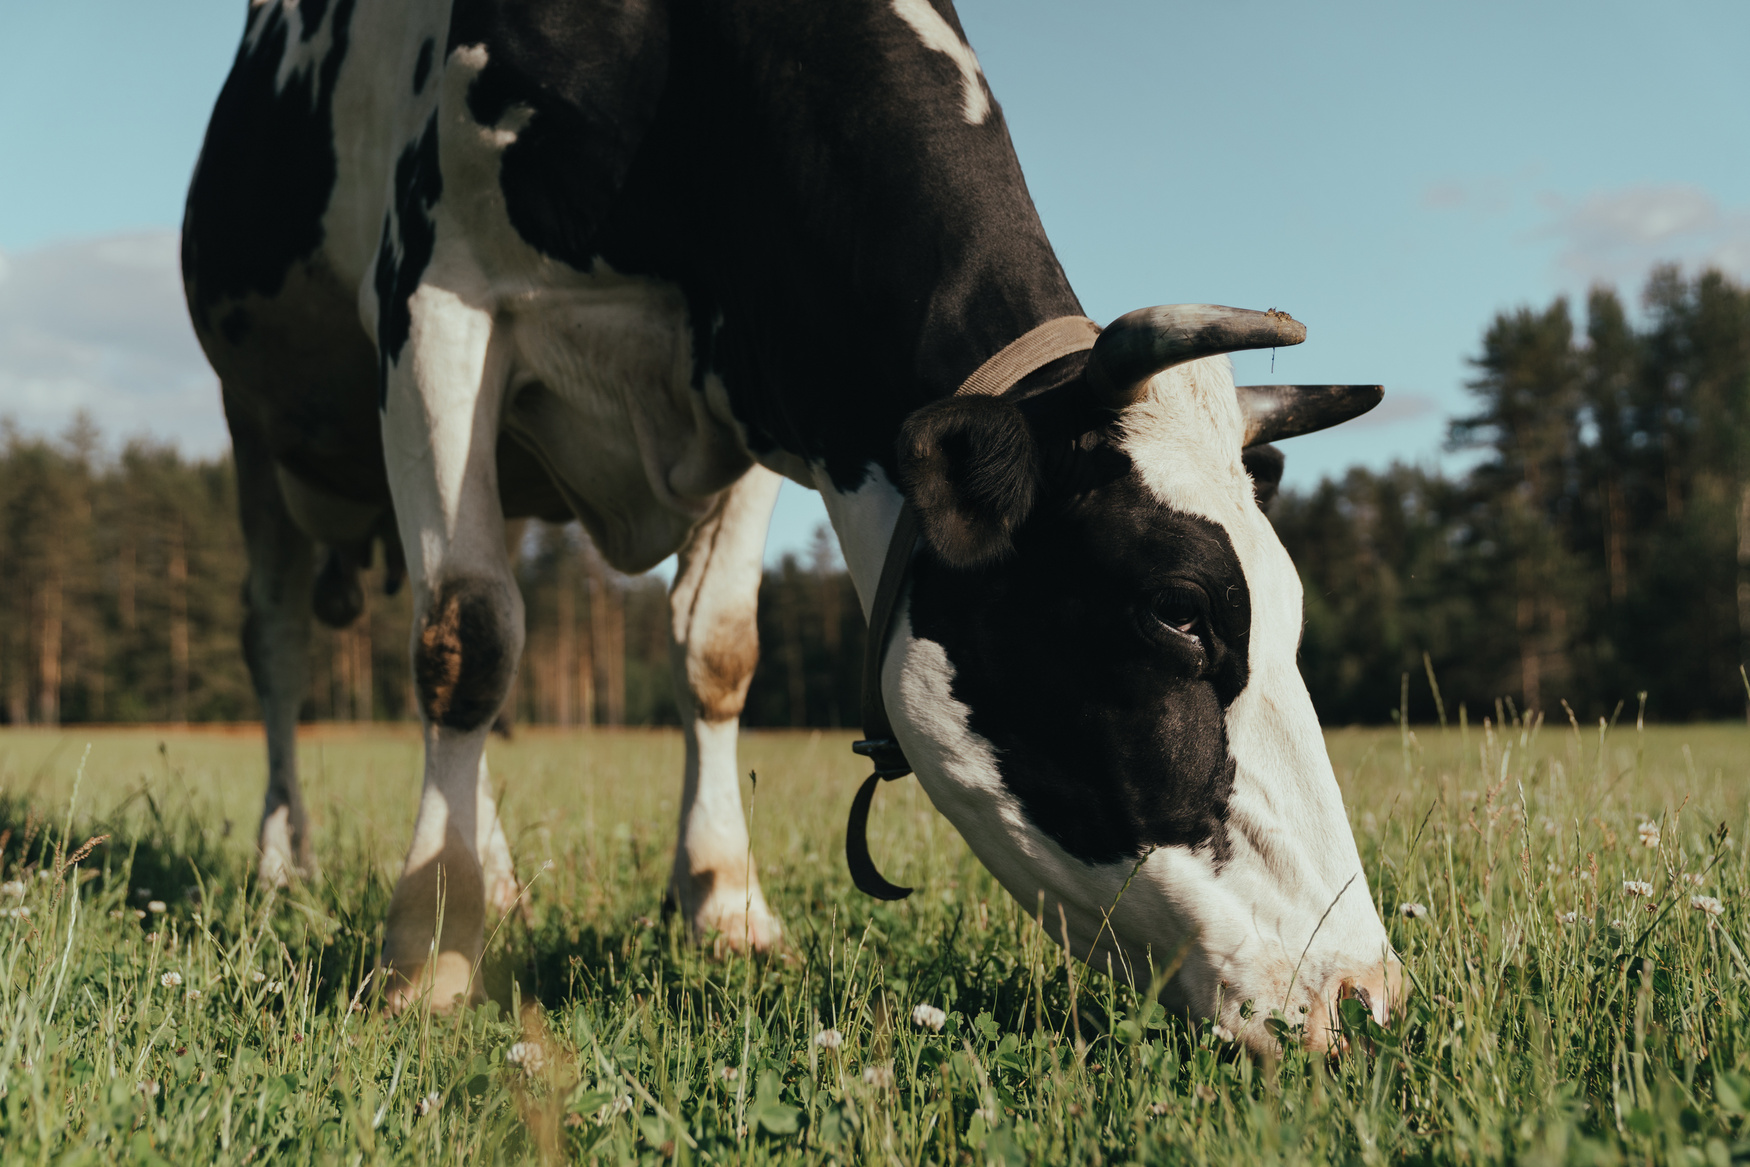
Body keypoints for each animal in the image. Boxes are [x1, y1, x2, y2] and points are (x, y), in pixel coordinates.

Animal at [182, 0, 1399, 1054]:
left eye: (1289, 612)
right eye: (1178, 611)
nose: (1363, 991)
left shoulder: (765, 388)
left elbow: (715, 652)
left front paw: (726, 908)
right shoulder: (437, 304)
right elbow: (465, 639)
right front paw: (429, 949)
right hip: (255, 424)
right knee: (290, 645)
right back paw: (288, 863)